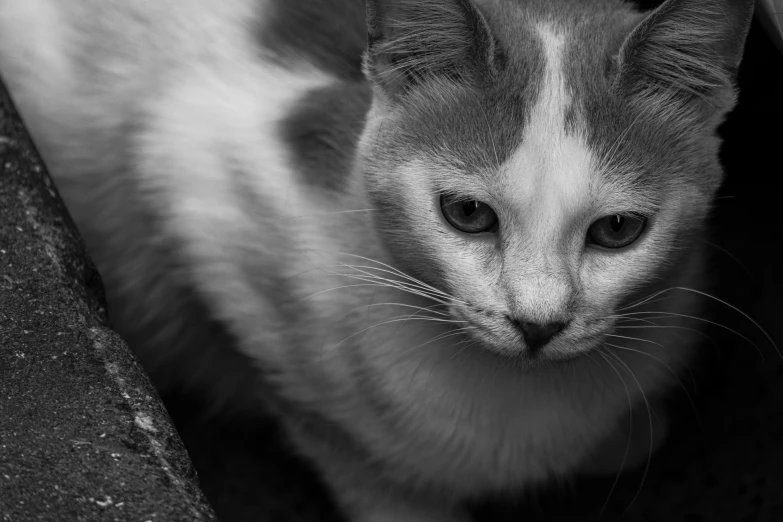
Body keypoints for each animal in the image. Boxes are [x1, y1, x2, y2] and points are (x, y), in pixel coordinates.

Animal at [0, 0, 760, 516]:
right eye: (467, 214)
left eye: (617, 230)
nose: (537, 324)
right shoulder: (188, 172)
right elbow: (336, 436)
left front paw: (622, 437)